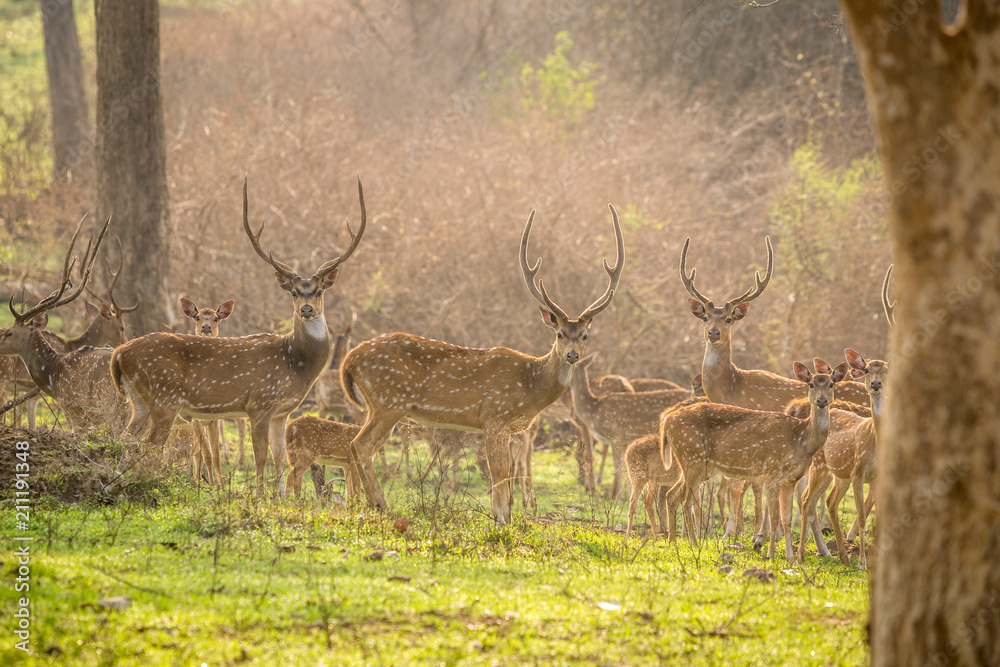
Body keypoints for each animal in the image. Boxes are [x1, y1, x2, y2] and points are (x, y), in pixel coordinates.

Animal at [110, 177, 367, 496]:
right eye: (295, 292)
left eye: (318, 291)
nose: (307, 309)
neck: (295, 364)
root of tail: (118, 354)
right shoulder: (259, 403)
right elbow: (261, 459)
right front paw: (259, 498)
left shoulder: (282, 412)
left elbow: (280, 459)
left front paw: (280, 500)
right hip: (164, 398)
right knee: (150, 445)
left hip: (139, 400)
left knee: (125, 438)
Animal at [340, 206, 625, 523]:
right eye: (559, 334)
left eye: (585, 335)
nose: (572, 355)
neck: (530, 388)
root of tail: (349, 360)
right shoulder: (494, 415)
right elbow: (498, 472)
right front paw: (500, 518)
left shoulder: (505, 427)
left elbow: (505, 471)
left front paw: (507, 516)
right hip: (390, 401)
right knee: (361, 445)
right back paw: (380, 505)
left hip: (381, 405)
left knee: (359, 445)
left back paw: (370, 503)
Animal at [569, 357, 691, 500]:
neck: (594, 410)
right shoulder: (624, 440)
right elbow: (627, 466)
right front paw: (628, 495)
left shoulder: (615, 436)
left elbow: (618, 465)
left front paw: (618, 498)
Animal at [663, 359, 849, 561]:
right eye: (811, 384)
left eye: (831, 384)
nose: (821, 401)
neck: (802, 439)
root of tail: (666, 421)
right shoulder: (772, 473)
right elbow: (775, 517)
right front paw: (771, 554)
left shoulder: (791, 479)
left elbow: (786, 518)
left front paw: (791, 558)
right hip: (692, 456)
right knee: (685, 500)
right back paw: (693, 543)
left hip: (696, 463)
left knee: (672, 494)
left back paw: (674, 541)